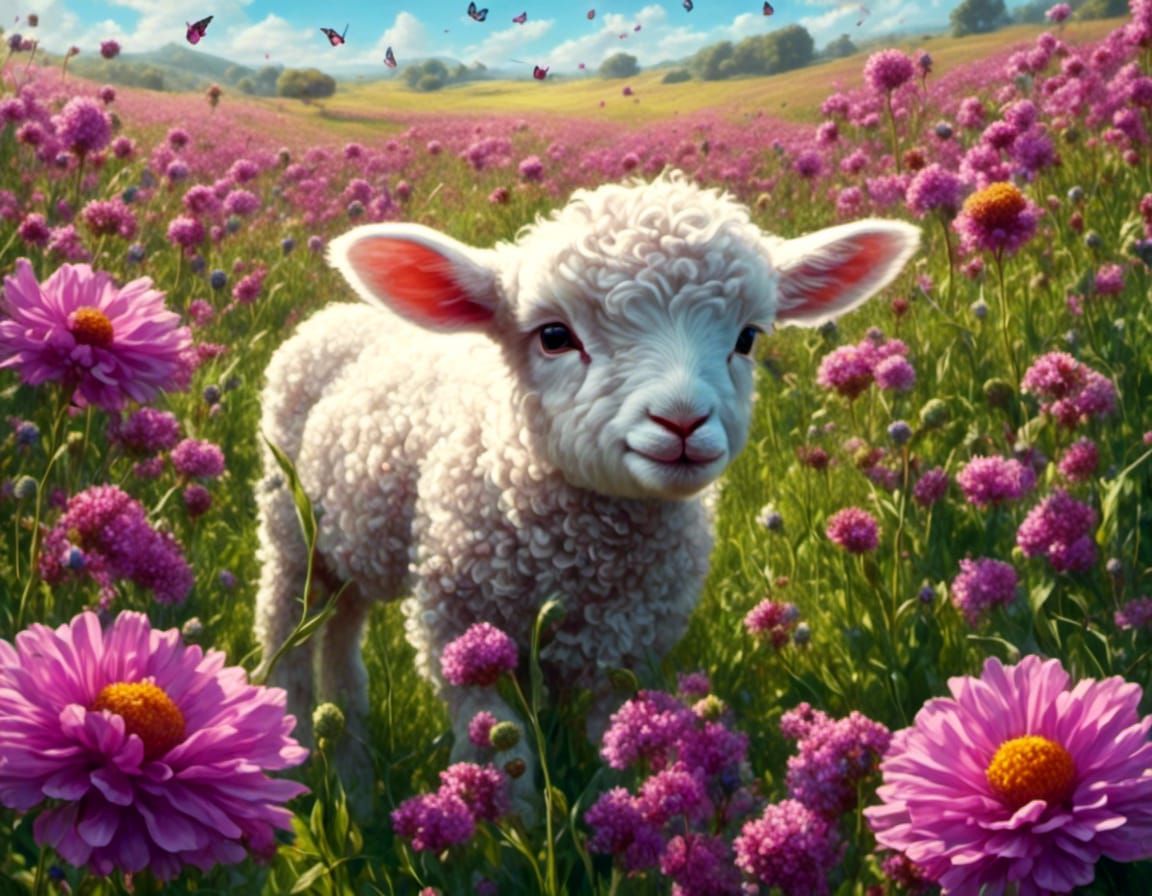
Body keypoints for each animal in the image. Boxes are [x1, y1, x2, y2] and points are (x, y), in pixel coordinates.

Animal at [253, 170, 919, 803]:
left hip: (349, 549)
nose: (682, 421)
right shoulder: (459, 635)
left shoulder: (624, 655)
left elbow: (616, 759)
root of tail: (337, 312)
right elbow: (507, 766)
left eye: (747, 338)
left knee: (342, 639)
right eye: (554, 336)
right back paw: (297, 754)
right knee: (287, 637)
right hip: (289, 531)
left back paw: (352, 768)